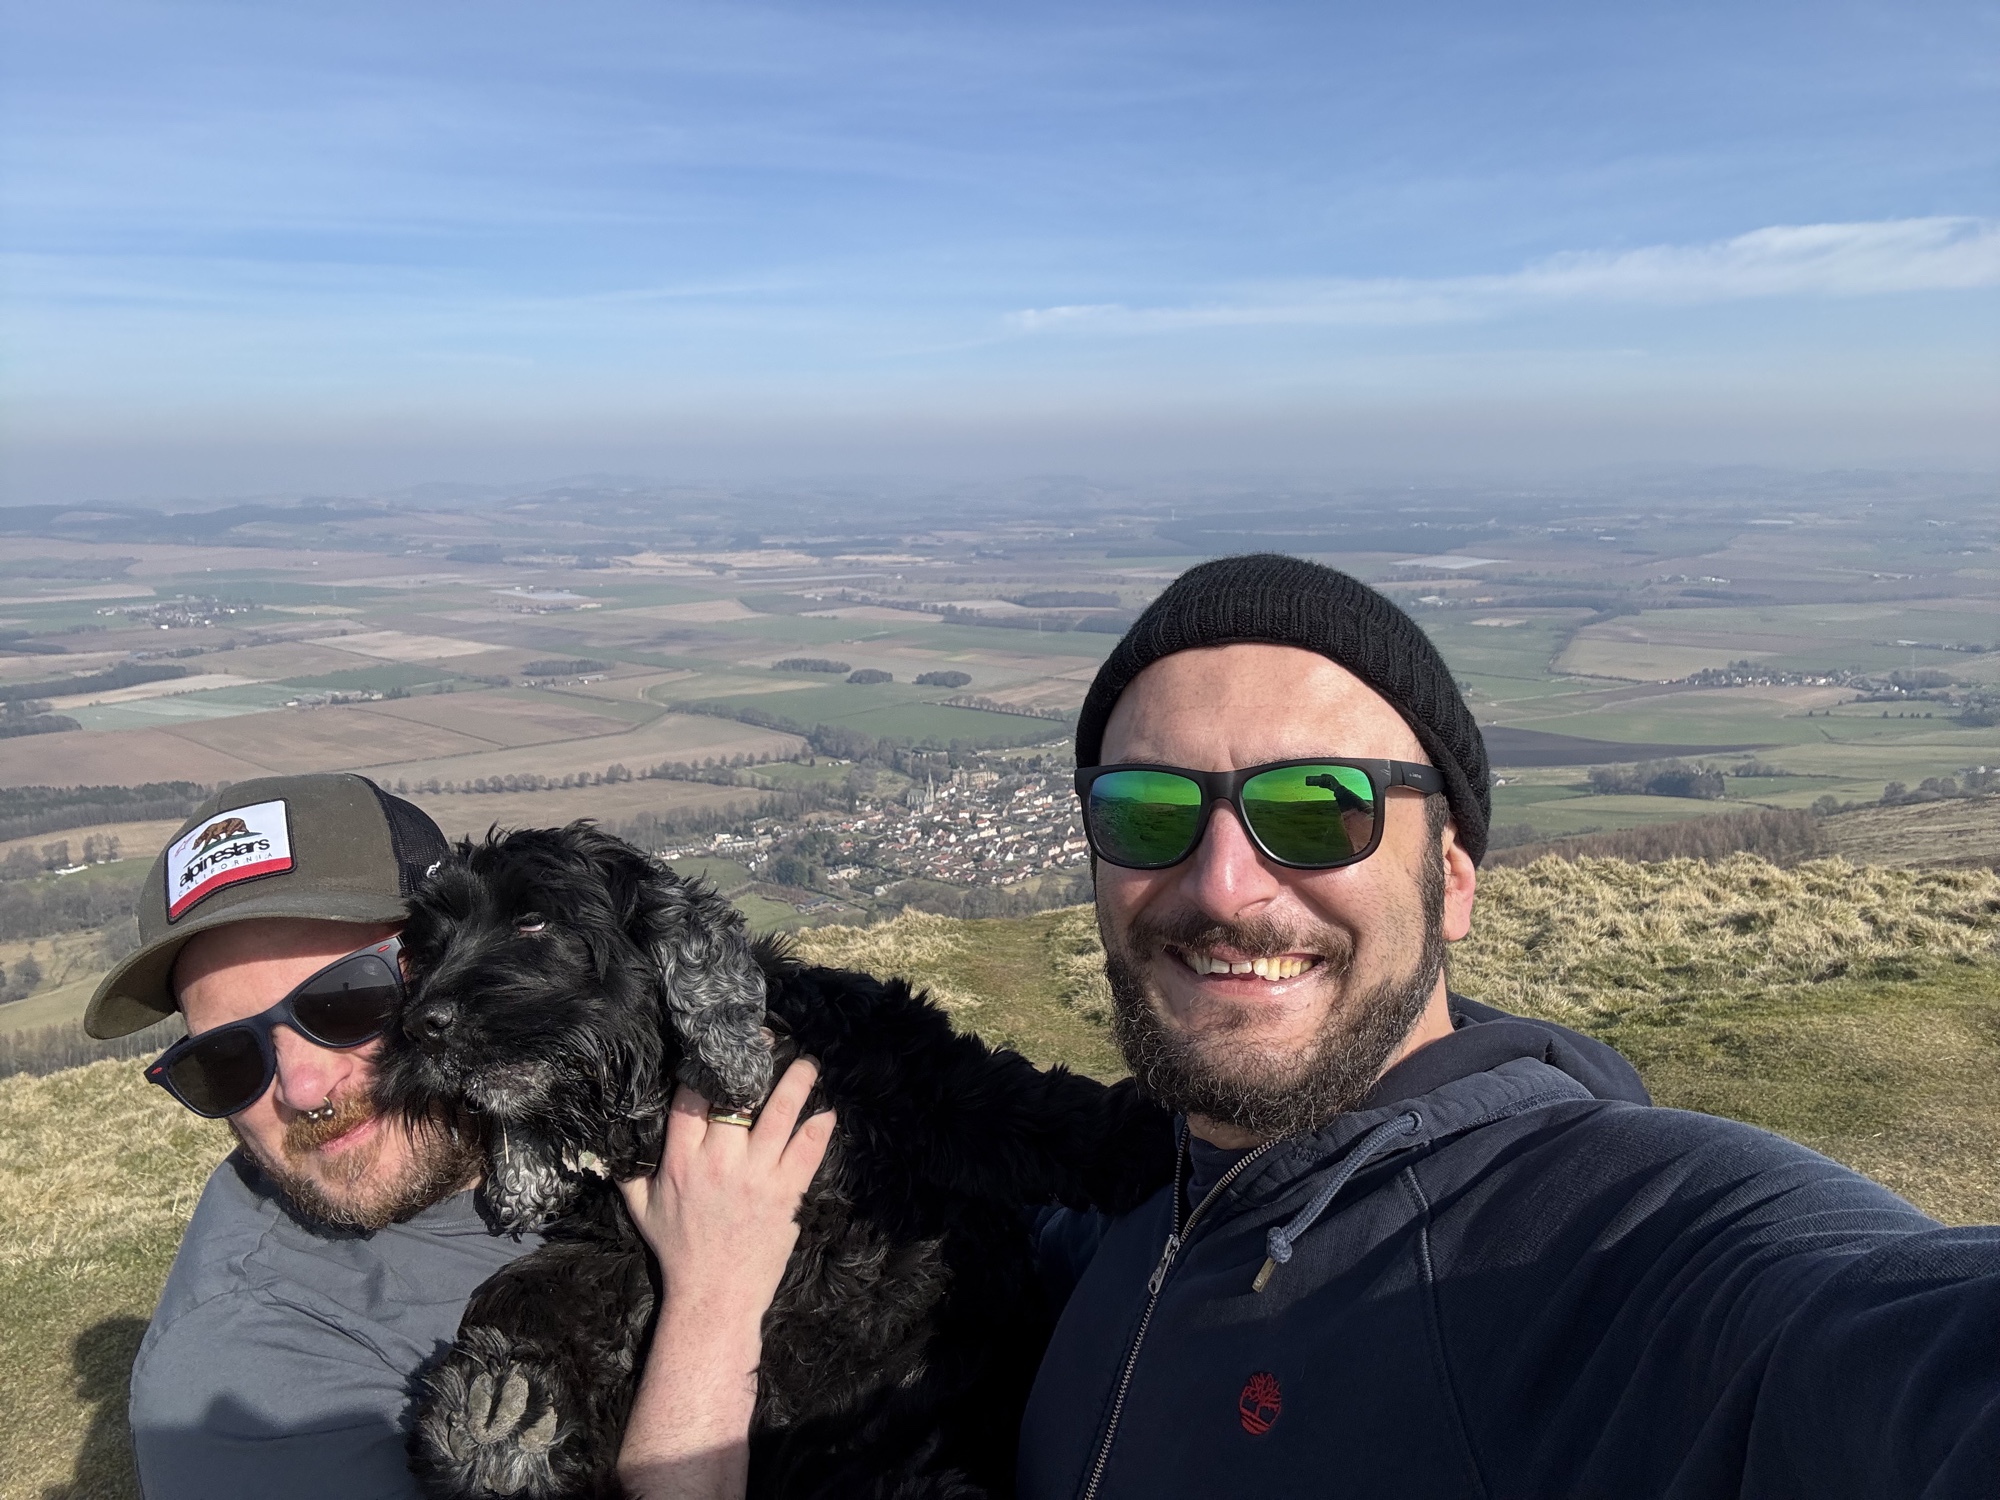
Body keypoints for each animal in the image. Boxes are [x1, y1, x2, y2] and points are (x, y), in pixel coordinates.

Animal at [376, 823, 1174, 1500]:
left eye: (534, 921)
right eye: (429, 945)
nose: (421, 1024)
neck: (655, 1103)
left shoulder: (900, 1063)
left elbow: (1016, 1101)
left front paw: (1148, 1138)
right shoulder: (617, 1252)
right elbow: (547, 1293)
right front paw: (507, 1429)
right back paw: (494, 1429)